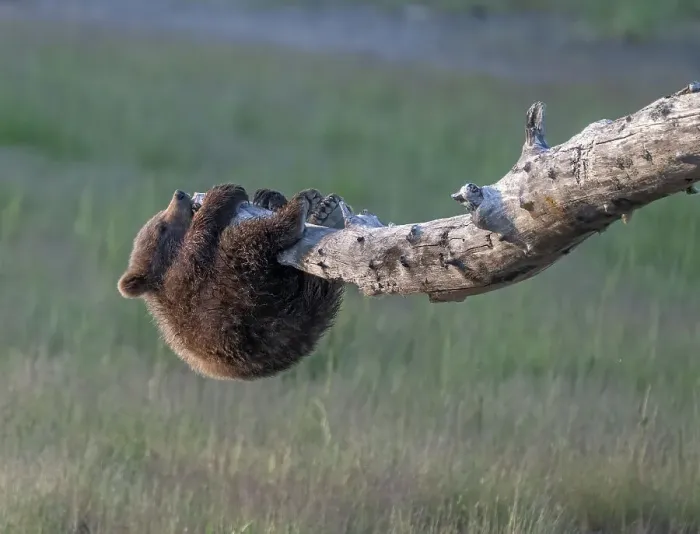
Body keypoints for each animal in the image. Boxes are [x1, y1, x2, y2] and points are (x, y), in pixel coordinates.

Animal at [117, 183, 345, 380]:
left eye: (159, 219)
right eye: (161, 226)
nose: (179, 195)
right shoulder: (186, 282)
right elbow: (199, 241)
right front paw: (223, 193)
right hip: (246, 294)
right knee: (248, 239)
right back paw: (298, 210)